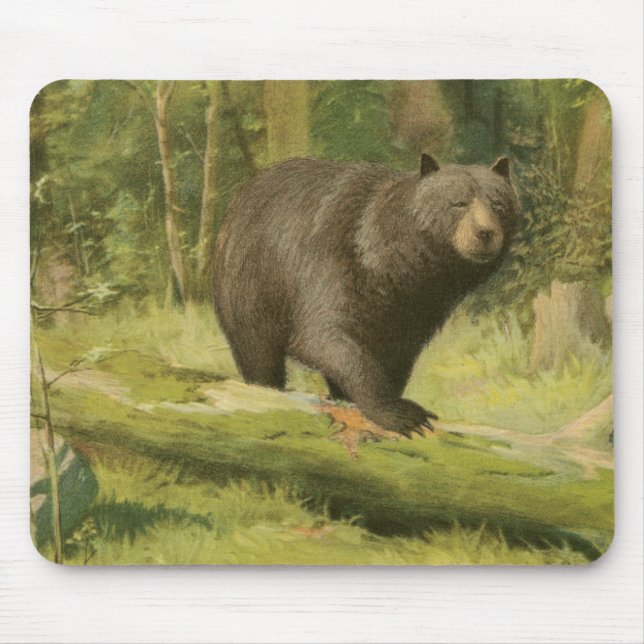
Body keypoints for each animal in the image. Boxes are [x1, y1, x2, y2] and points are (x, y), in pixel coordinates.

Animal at [213, 153, 520, 437]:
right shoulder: (331, 263)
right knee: (258, 351)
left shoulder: (418, 309)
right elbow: (324, 336)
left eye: (498, 204)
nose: (485, 232)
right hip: (250, 285)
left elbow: (396, 354)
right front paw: (401, 413)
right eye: (458, 203)